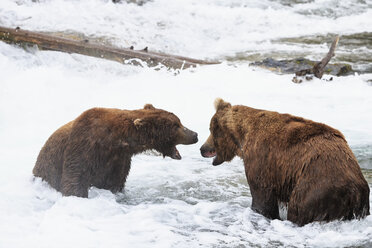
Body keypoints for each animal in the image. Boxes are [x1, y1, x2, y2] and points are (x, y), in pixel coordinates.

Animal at [33, 104, 199, 198]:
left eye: (179, 121)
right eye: (176, 125)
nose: (195, 134)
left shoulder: (119, 159)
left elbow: (114, 182)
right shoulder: (84, 145)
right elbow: (75, 177)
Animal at [201, 98, 370, 226]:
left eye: (211, 130)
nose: (203, 148)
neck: (242, 136)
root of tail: (354, 189)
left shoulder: (262, 160)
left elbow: (262, 197)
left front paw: (259, 212)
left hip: (317, 186)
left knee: (299, 210)